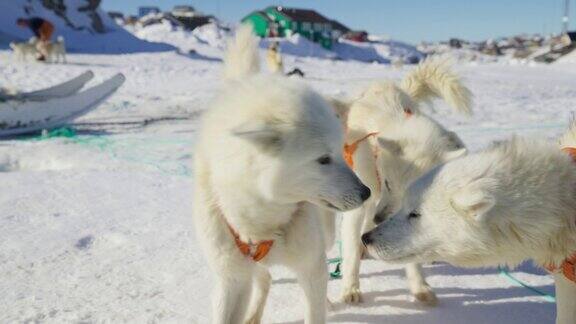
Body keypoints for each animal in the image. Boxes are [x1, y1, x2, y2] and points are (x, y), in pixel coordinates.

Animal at [194, 25, 372, 324]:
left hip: (323, 238)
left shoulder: (311, 267)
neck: (264, 223)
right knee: (264, 278)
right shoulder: (232, 279)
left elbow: (315, 304)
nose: (366, 192)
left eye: (340, 150)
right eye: (323, 159)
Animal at [332, 59, 472, 306]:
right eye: (389, 183)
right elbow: (350, 254)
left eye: (414, 196)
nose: (380, 219)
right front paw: (350, 289)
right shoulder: (361, 202)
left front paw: (420, 287)